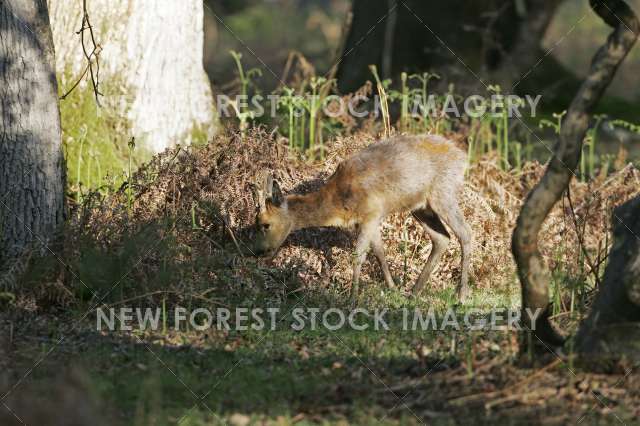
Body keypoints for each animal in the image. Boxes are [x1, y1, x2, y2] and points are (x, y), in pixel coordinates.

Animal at [252, 135, 472, 302]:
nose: (258, 252)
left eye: (265, 225)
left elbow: (358, 256)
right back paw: (414, 293)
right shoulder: (368, 220)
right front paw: (392, 289)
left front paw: (351, 299)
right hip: (420, 206)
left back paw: (461, 296)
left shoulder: (371, 212)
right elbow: (379, 252)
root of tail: (462, 157)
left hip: (444, 192)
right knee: (442, 238)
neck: (338, 203)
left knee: (465, 233)